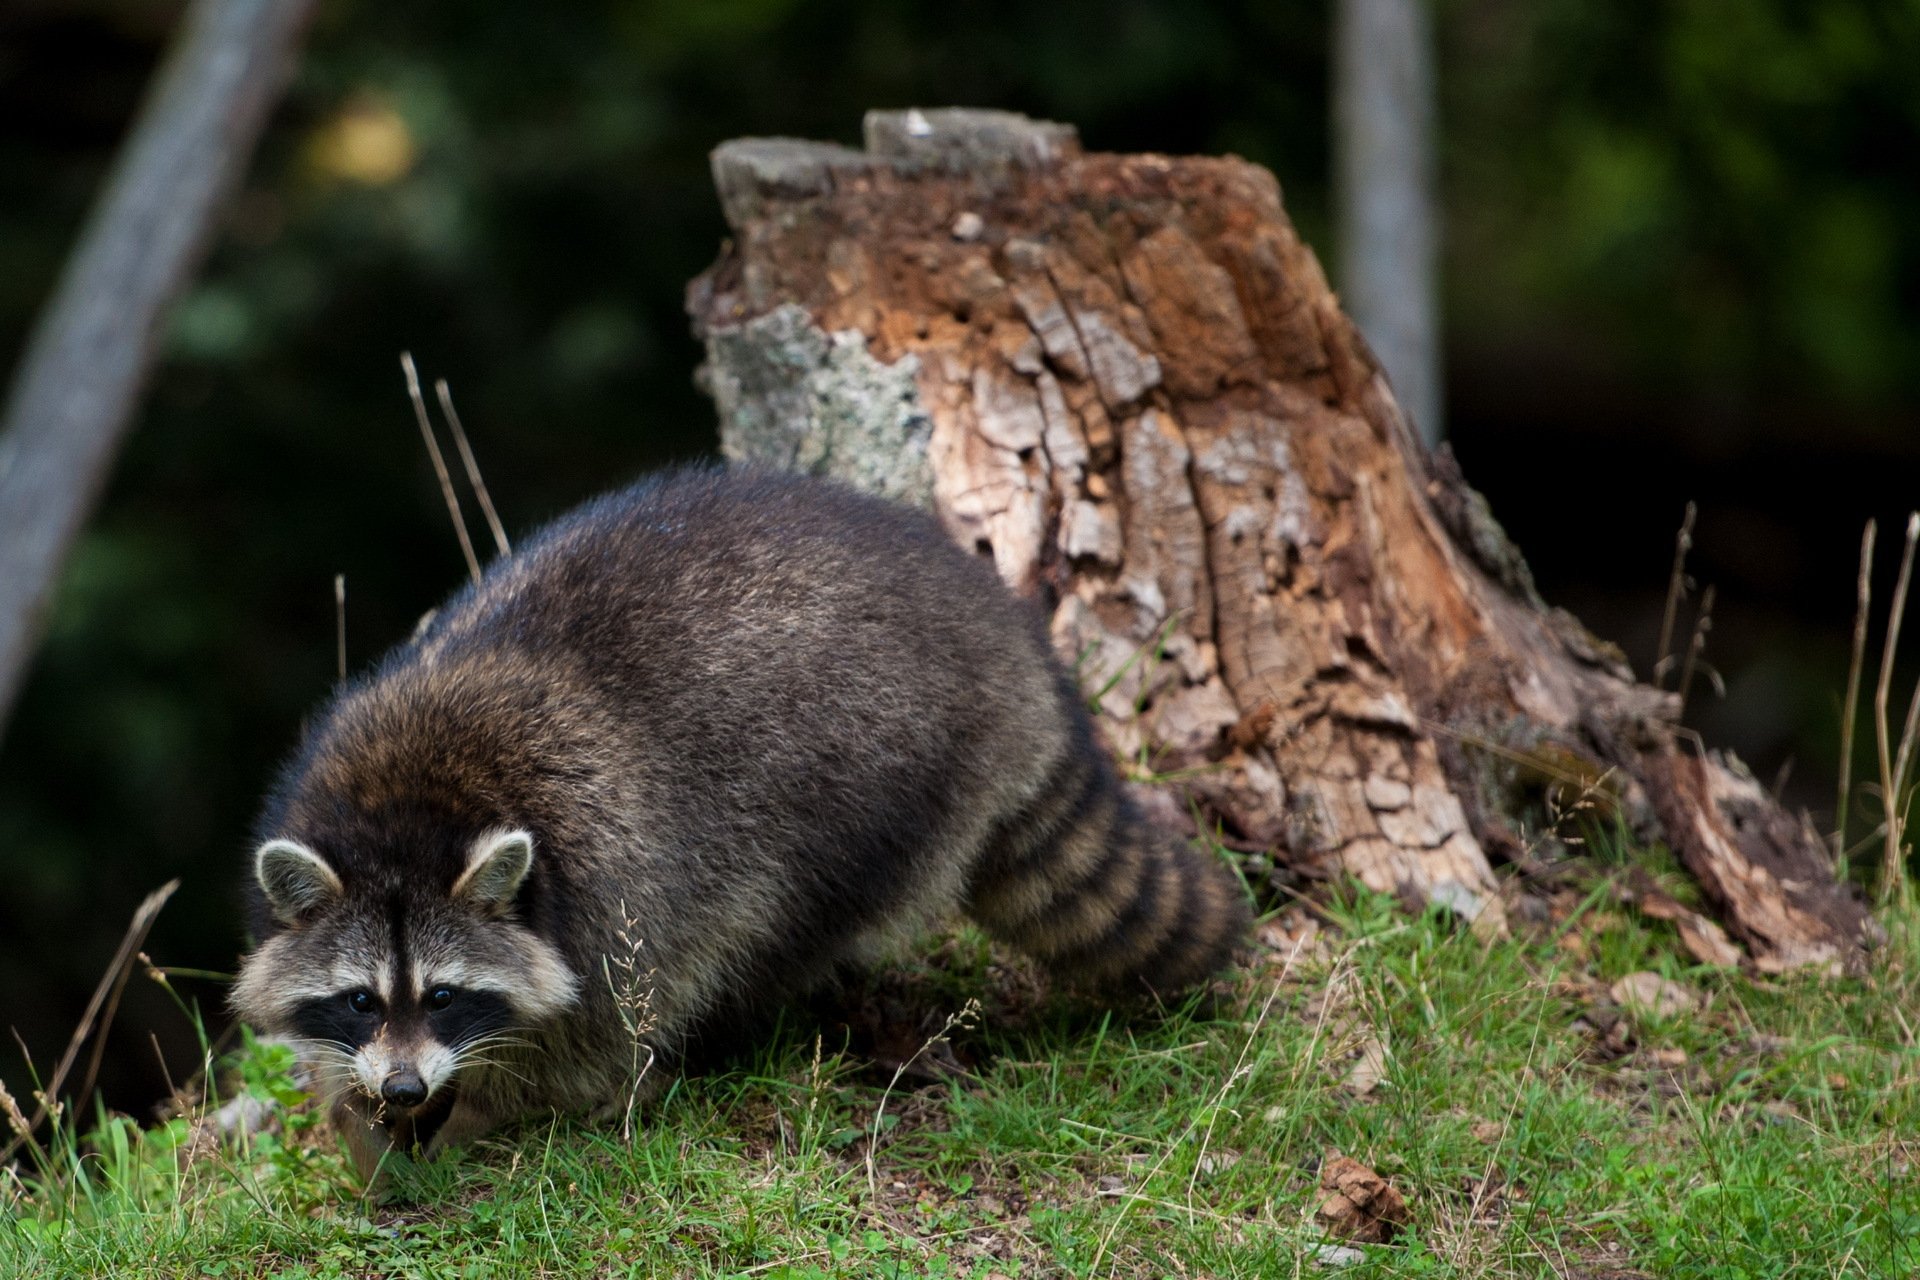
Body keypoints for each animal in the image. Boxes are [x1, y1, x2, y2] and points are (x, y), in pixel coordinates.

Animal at [231, 466, 1249, 1176]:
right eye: (361, 1000)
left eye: (445, 996)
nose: (406, 1084)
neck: (408, 810)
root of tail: (1008, 646)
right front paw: (364, 1113)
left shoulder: (613, 891)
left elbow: (591, 1047)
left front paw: (477, 1118)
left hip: (879, 782)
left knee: (768, 929)